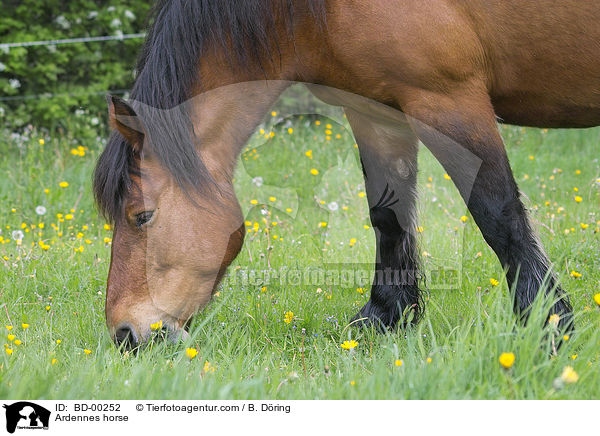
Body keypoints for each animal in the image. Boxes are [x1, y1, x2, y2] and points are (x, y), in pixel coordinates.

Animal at [94, 0, 596, 348]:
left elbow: (499, 217)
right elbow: (387, 216)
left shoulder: (451, 103)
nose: (125, 334)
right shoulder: (376, 111)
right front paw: (386, 316)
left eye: (141, 216)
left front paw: (549, 327)